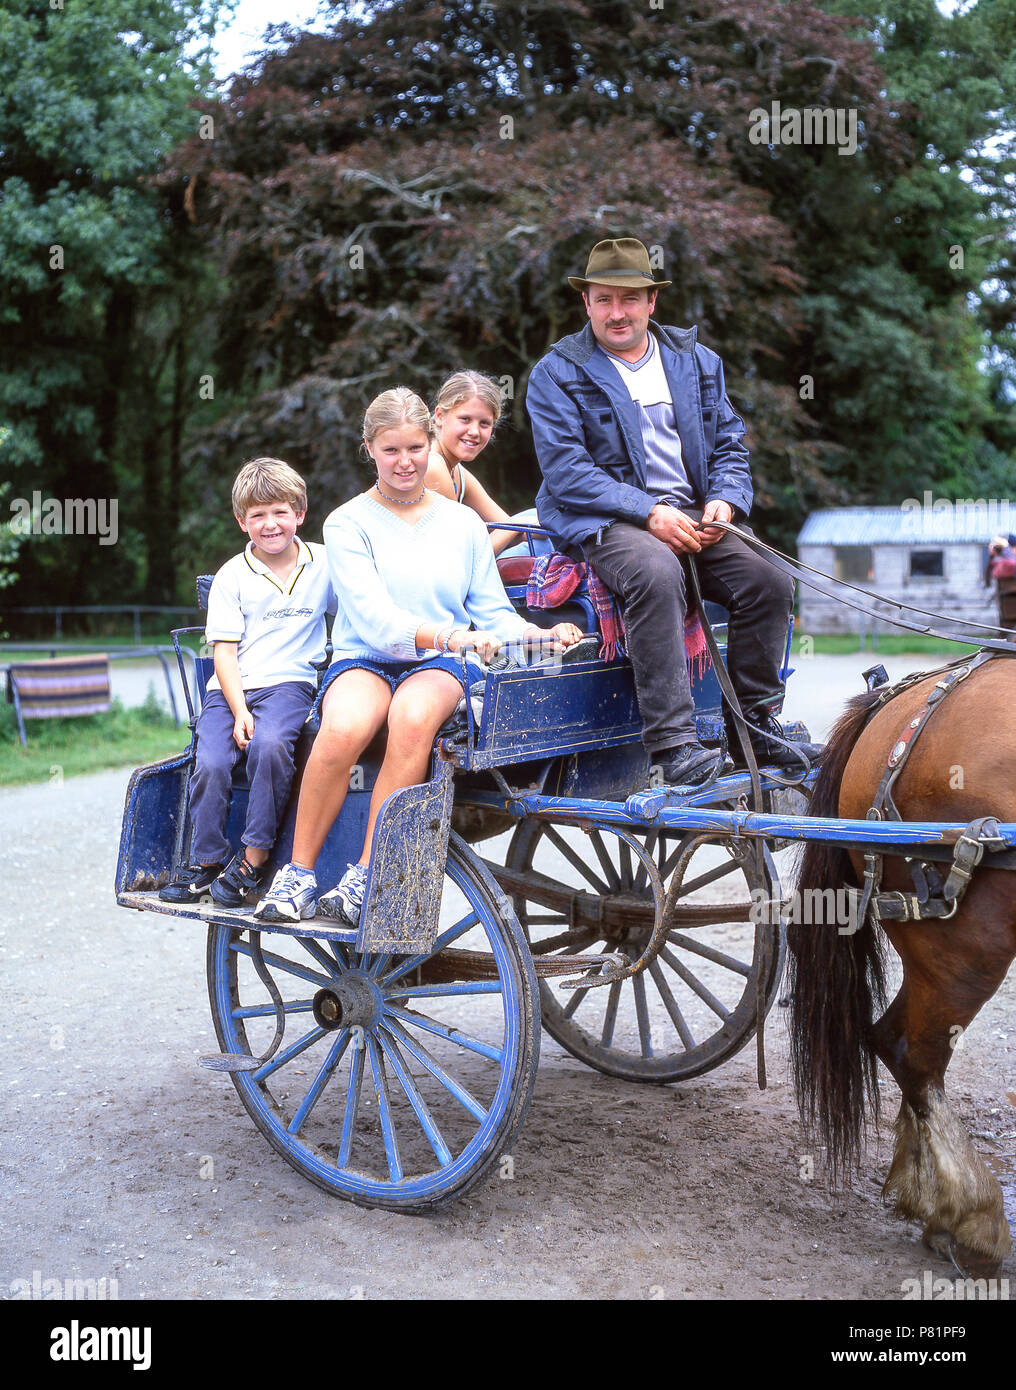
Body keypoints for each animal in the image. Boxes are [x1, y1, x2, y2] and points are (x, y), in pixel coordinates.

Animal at [789, 656, 1016, 1273]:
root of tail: (895, 702)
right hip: (966, 948)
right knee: (912, 1053)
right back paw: (972, 1216)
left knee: (895, 1041)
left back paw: (929, 1197)